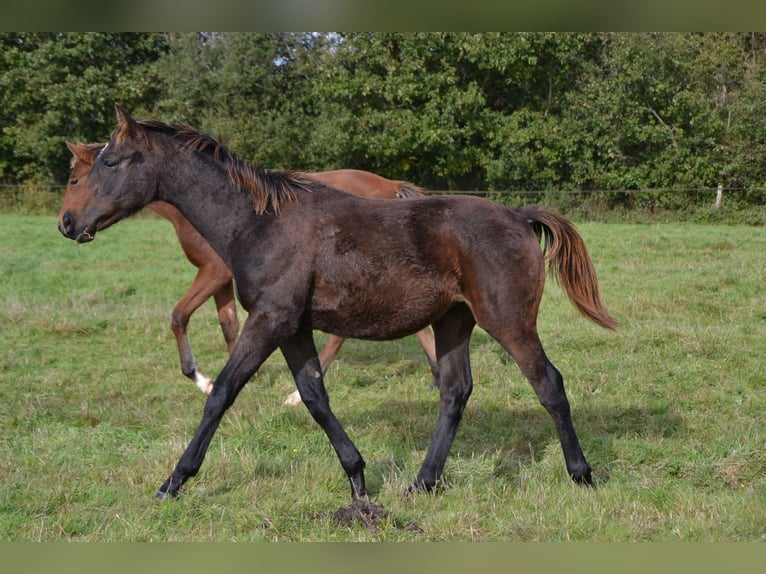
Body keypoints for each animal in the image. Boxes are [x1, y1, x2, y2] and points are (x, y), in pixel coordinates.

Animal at [60, 142, 438, 404]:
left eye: (75, 179)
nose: (65, 224)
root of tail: (389, 184)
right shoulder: (224, 281)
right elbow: (228, 323)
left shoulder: (212, 272)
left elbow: (179, 316)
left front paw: (202, 378)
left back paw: (298, 396)